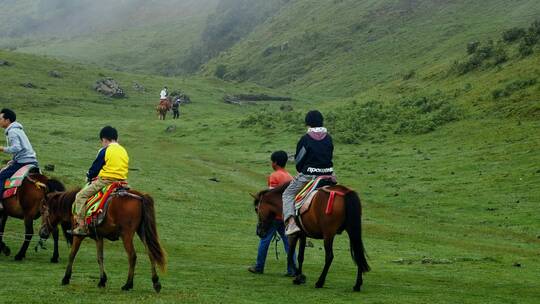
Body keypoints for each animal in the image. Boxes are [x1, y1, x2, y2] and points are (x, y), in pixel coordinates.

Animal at [38, 188, 167, 292]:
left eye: (43, 212)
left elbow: (72, 255)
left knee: (132, 256)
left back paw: (128, 284)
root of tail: (140, 196)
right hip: (142, 232)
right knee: (151, 254)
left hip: (126, 234)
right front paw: (102, 280)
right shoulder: (98, 237)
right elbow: (100, 258)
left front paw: (66, 278)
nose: (42, 232)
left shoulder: (78, 236)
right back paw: (156, 282)